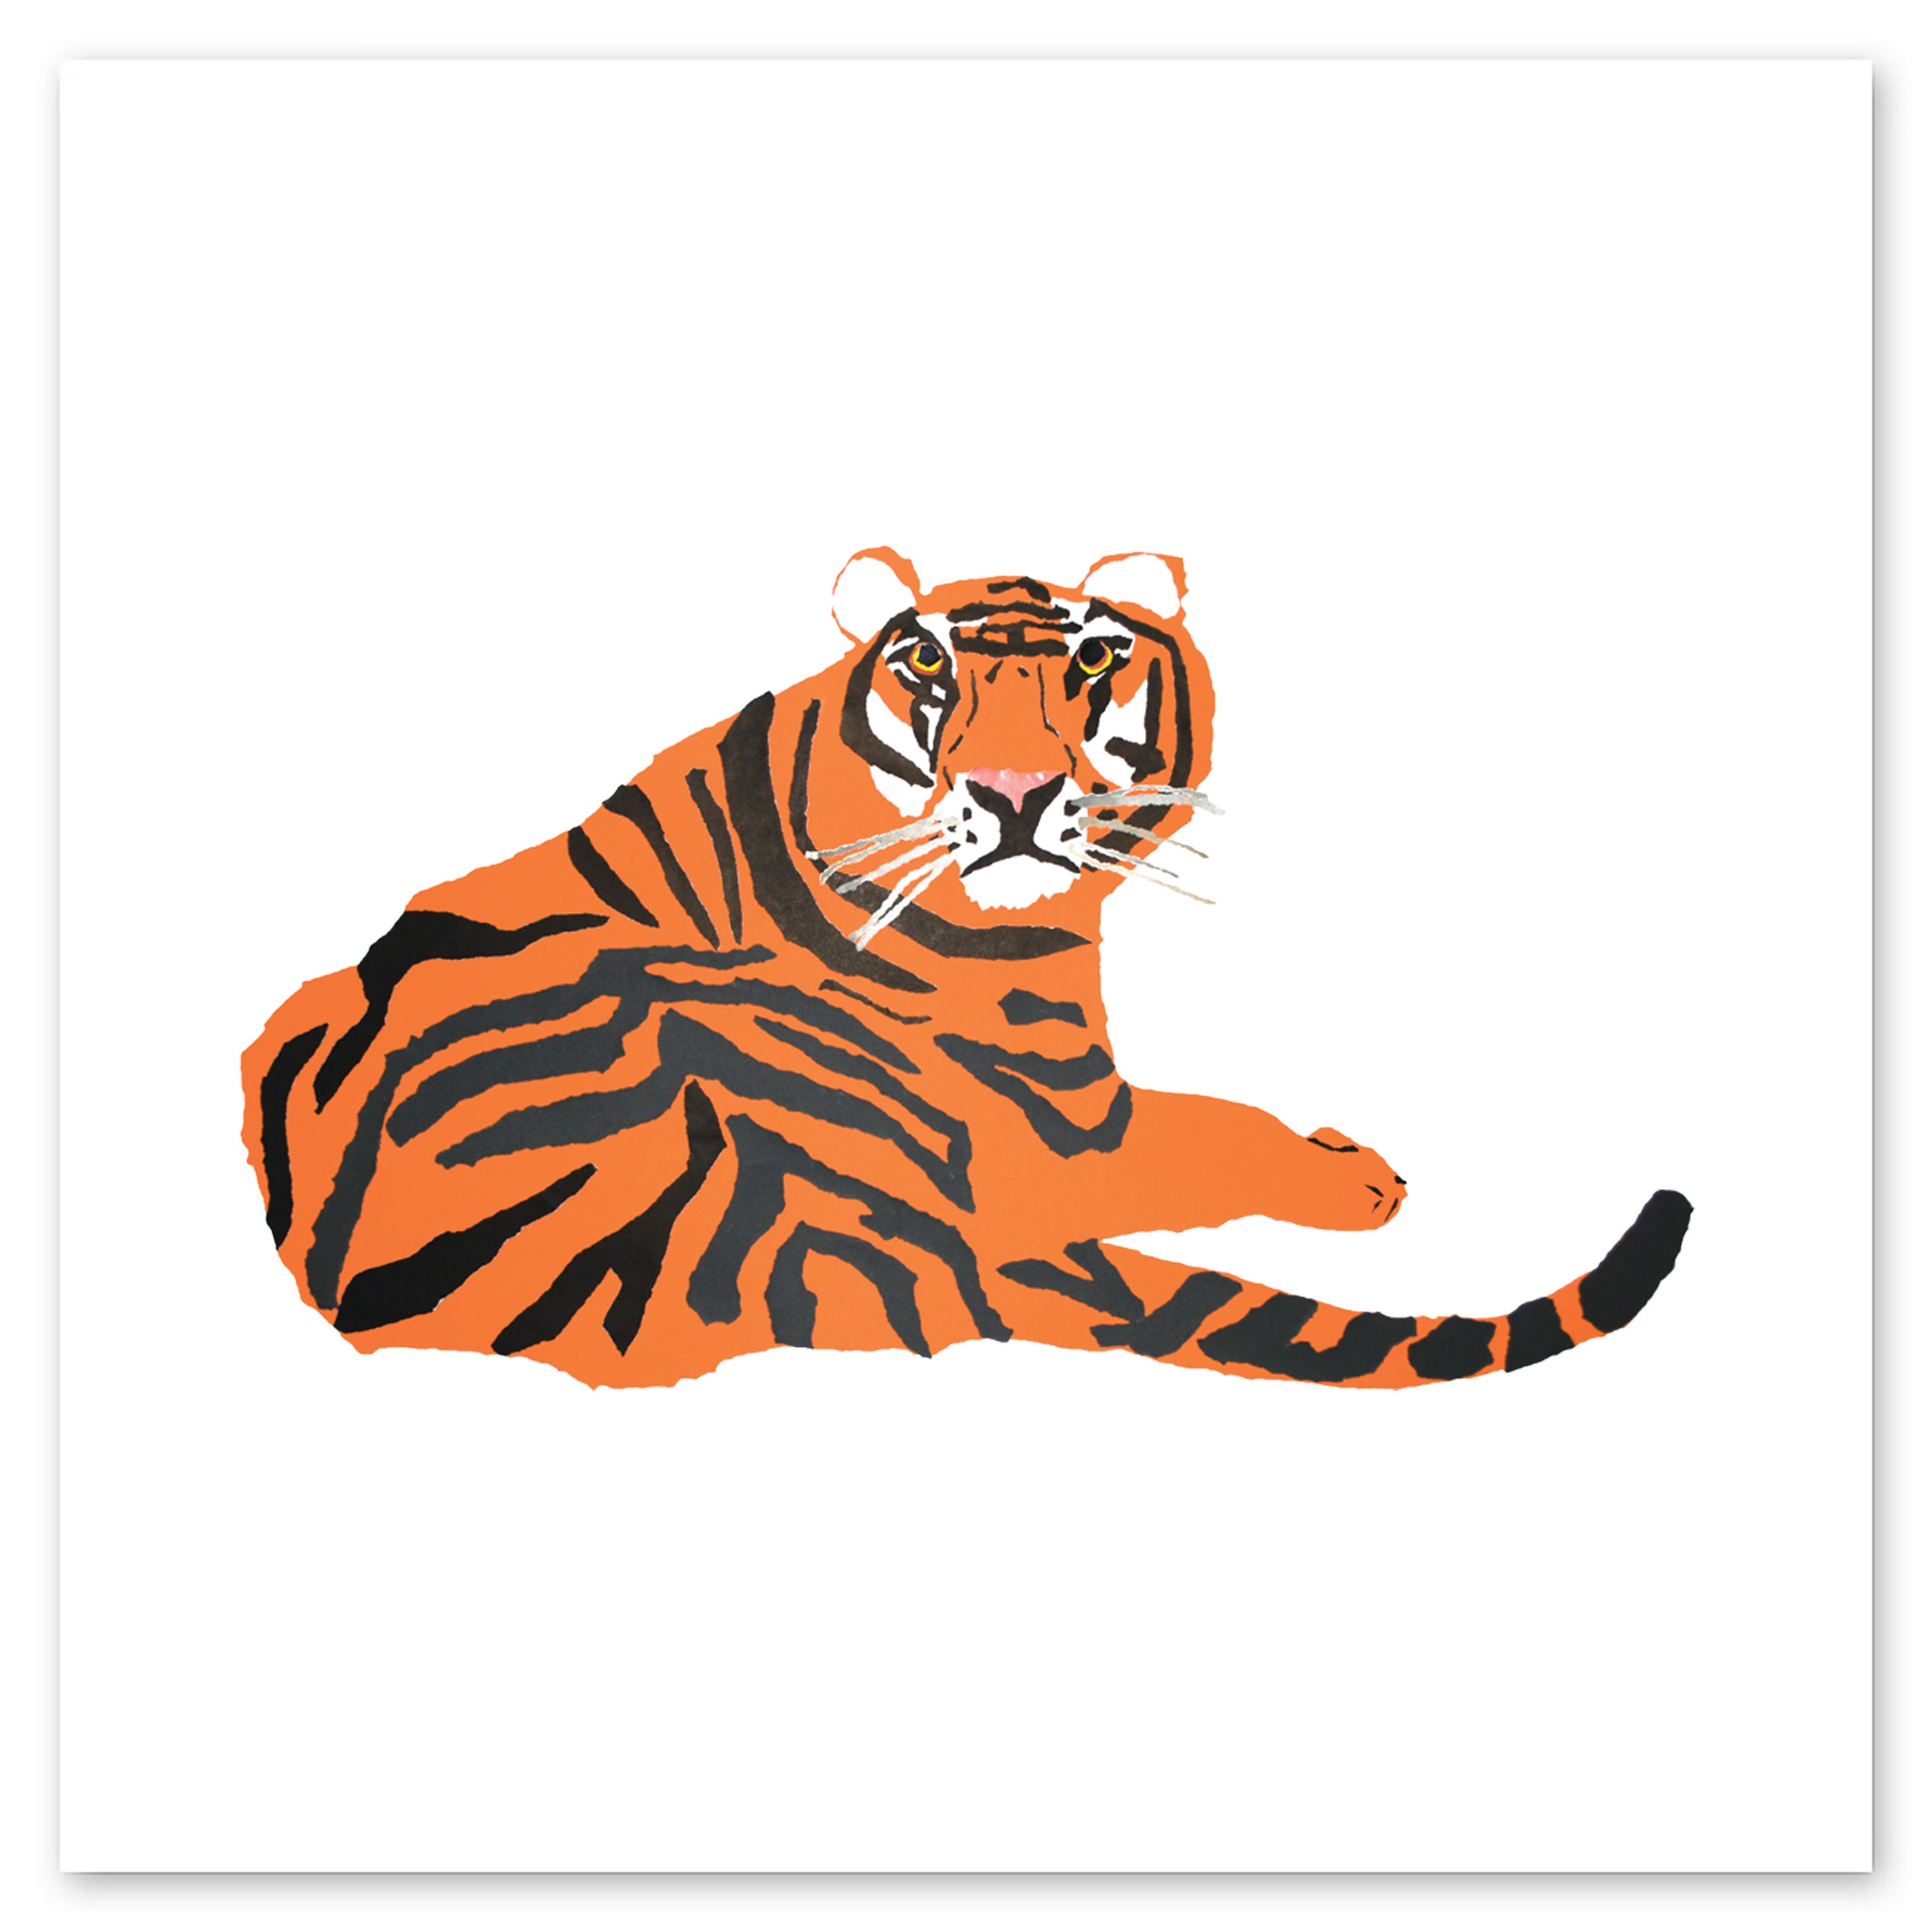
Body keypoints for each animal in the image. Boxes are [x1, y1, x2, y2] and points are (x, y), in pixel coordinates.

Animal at [240, 548, 1692, 1393]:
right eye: (929, 668)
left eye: (1097, 656)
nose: (1010, 794)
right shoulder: (1061, 1129)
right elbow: (1212, 1130)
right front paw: (1357, 1174)